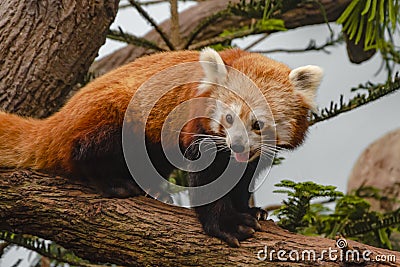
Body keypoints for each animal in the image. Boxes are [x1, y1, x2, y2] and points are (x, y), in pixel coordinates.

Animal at [0, 48, 322, 247]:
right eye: (229, 118)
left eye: (258, 123)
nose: (238, 144)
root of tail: (60, 117)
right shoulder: (196, 126)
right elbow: (207, 180)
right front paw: (228, 224)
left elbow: (241, 178)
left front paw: (249, 210)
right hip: (113, 118)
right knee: (85, 149)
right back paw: (114, 182)